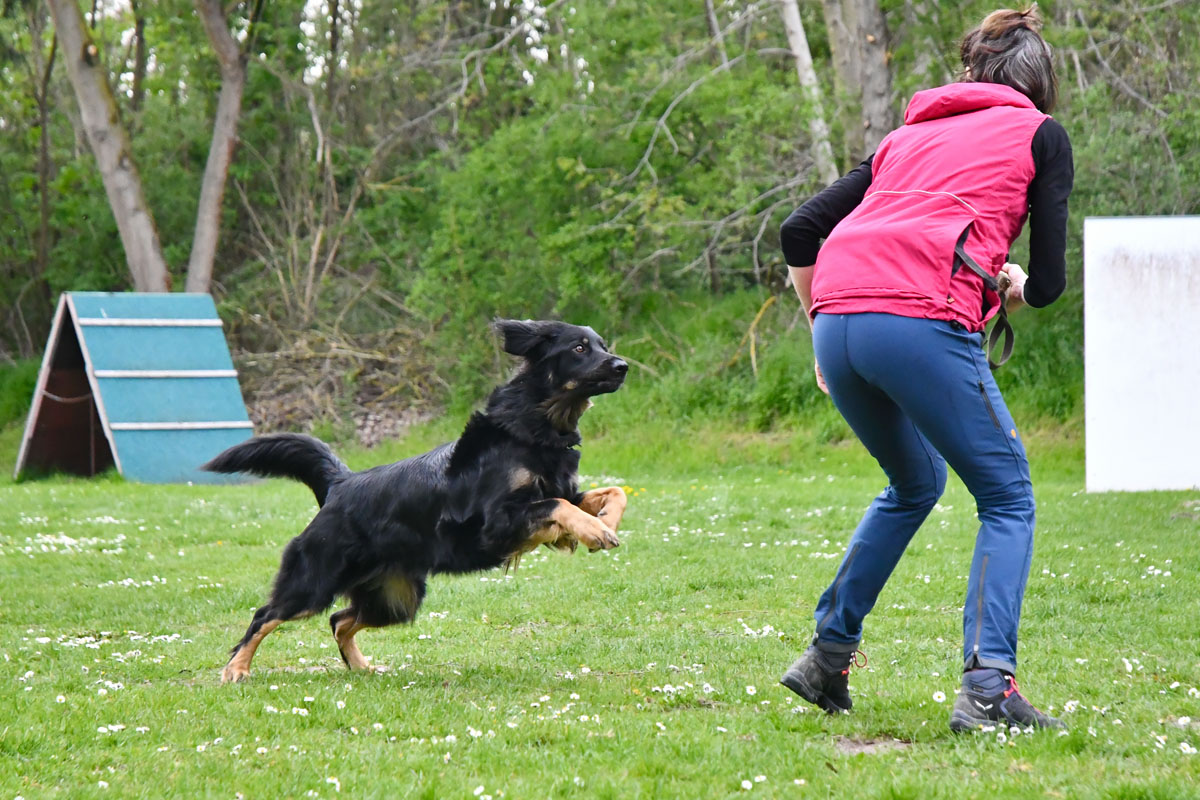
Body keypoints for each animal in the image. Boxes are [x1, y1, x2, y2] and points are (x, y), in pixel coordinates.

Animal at [208, 319, 628, 681]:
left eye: (603, 345)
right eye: (579, 348)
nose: (623, 366)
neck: (535, 428)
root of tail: (341, 484)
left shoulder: (559, 492)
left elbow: (609, 493)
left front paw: (604, 523)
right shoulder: (497, 523)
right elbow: (559, 506)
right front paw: (595, 531)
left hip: (396, 598)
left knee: (339, 620)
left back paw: (361, 667)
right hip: (314, 582)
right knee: (265, 615)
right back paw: (237, 669)